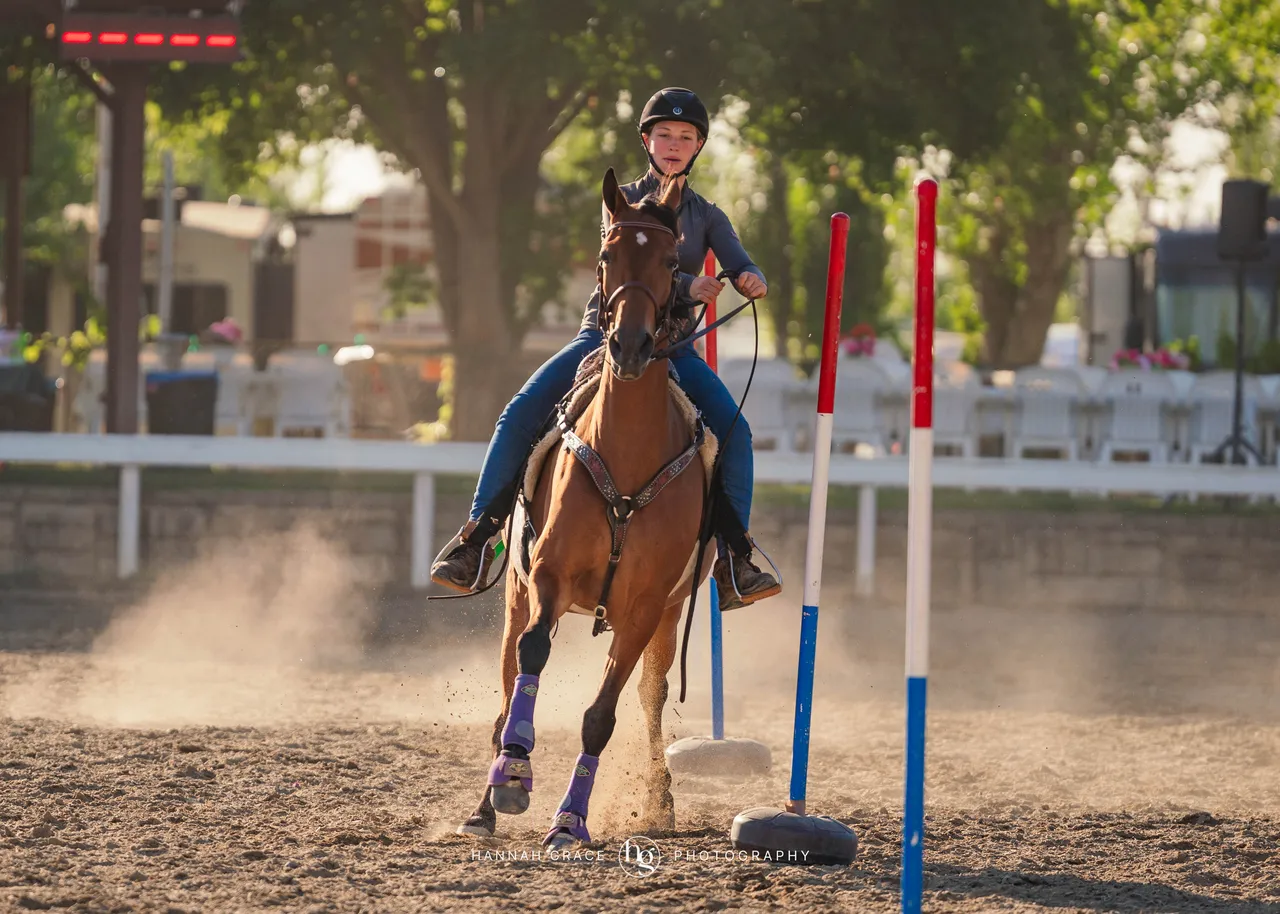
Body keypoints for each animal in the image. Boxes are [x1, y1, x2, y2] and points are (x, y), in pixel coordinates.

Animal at [456, 168, 717, 850]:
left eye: (671, 262)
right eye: (605, 256)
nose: (629, 345)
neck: (624, 454)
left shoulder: (645, 607)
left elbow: (603, 715)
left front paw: (570, 821)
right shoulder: (549, 574)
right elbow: (533, 658)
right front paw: (515, 774)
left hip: (666, 618)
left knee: (649, 700)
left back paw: (659, 802)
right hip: (515, 594)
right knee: (505, 689)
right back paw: (486, 804)